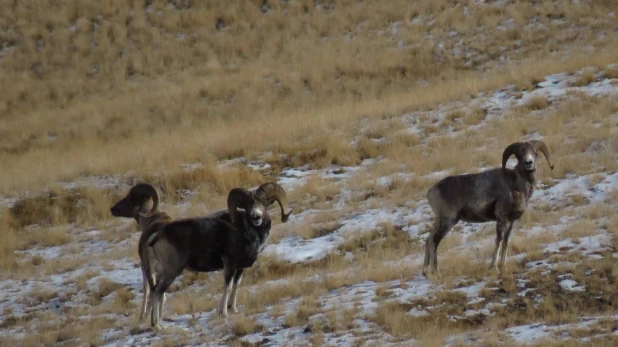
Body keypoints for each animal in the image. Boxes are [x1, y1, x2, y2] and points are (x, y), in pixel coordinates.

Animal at [422, 141, 552, 278]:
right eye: (519, 154)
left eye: (535, 153)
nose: (529, 163)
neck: (517, 186)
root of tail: (431, 192)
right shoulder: (501, 219)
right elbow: (499, 240)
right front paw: (494, 268)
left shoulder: (511, 221)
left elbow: (506, 241)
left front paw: (504, 267)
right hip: (448, 221)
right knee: (434, 241)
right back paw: (436, 272)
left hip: (439, 221)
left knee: (428, 239)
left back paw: (425, 272)